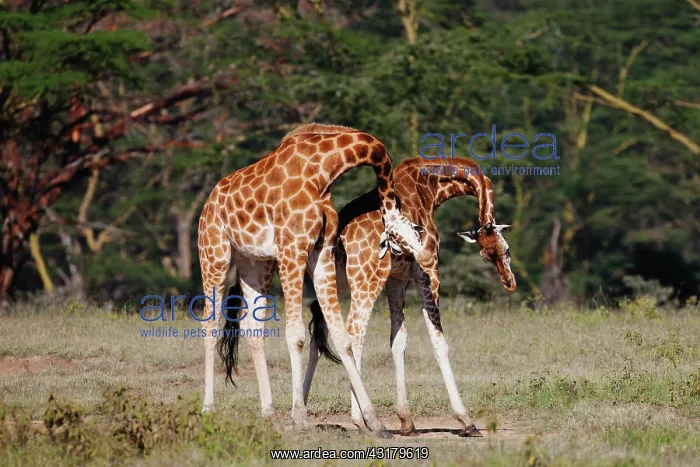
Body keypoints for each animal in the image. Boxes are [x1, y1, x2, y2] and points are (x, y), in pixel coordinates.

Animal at [196, 123, 427, 437]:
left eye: (415, 233)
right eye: (398, 238)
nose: (424, 259)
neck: (323, 170)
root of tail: (209, 202)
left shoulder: (322, 250)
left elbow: (342, 337)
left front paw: (375, 422)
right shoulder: (293, 249)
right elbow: (295, 336)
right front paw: (300, 417)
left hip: (255, 264)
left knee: (252, 327)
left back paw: (269, 415)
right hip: (214, 254)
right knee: (209, 323)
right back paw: (208, 409)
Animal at [302, 156, 516, 437]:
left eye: (503, 250)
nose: (509, 282)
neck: (429, 187)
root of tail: (337, 236)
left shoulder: (397, 279)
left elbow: (398, 340)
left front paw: (406, 421)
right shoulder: (428, 272)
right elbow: (438, 341)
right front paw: (466, 421)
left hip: (333, 280)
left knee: (319, 334)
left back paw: (302, 411)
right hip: (367, 278)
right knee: (353, 332)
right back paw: (363, 419)